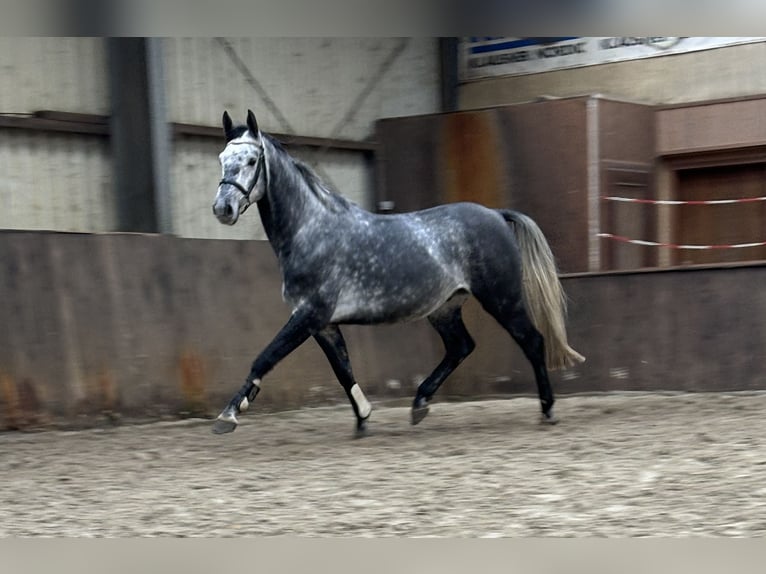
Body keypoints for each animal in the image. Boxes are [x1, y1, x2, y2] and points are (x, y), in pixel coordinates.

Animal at [212, 111, 588, 436]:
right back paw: (420, 404)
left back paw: (547, 410)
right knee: (461, 347)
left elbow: (265, 357)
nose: (222, 209)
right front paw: (363, 419)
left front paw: (228, 415)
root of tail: (496, 215)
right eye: (222, 159)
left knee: (532, 341)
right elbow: (342, 369)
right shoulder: (323, 324)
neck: (312, 230)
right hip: (445, 308)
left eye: (252, 161)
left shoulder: (309, 315)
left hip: (502, 299)